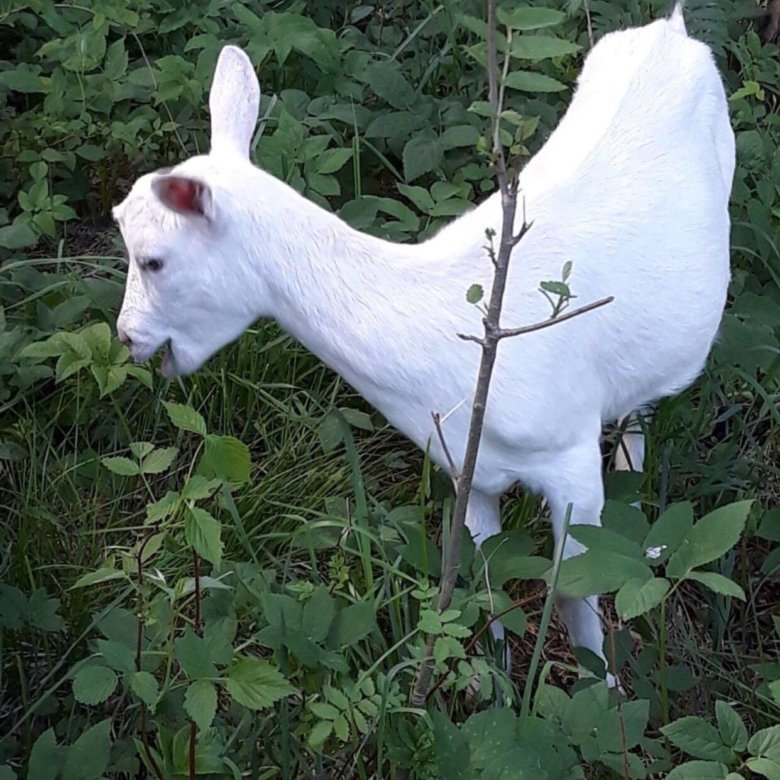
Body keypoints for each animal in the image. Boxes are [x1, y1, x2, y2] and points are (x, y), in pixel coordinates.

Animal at [112, 9, 736, 684]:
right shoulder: (469, 466)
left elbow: (573, 590)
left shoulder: (568, 457)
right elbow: (482, 578)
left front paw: (606, 685)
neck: (436, 342)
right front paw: (491, 679)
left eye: (152, 259)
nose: (127, 335)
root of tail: (671, 27)